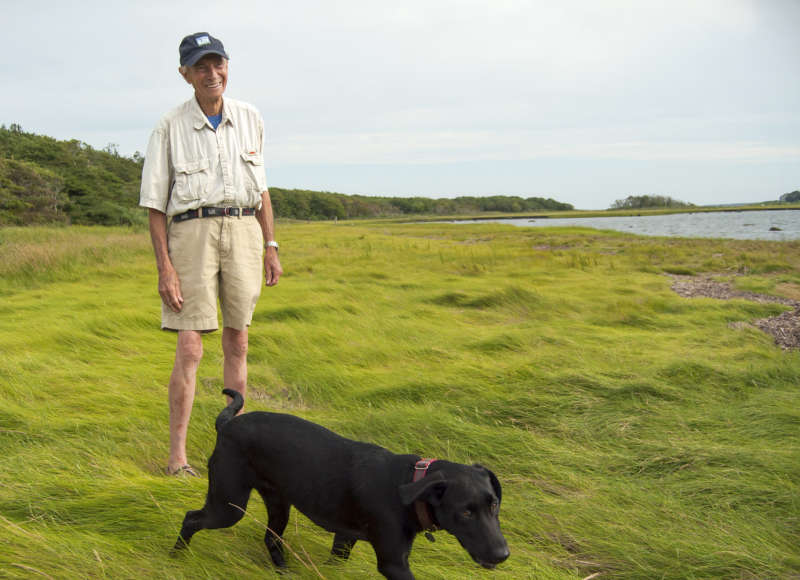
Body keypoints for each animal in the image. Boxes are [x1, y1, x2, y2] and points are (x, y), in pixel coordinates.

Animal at [173, 390, 512, 580]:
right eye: (464, 512)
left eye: (494, 505)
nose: (502, 555)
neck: (409, 484)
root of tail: (227, 424)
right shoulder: (393, 563)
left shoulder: (345, 538)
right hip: (229, 505)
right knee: (191, 518)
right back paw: (177, 557)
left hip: (278, 502)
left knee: (271, 539)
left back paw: (284, 572)